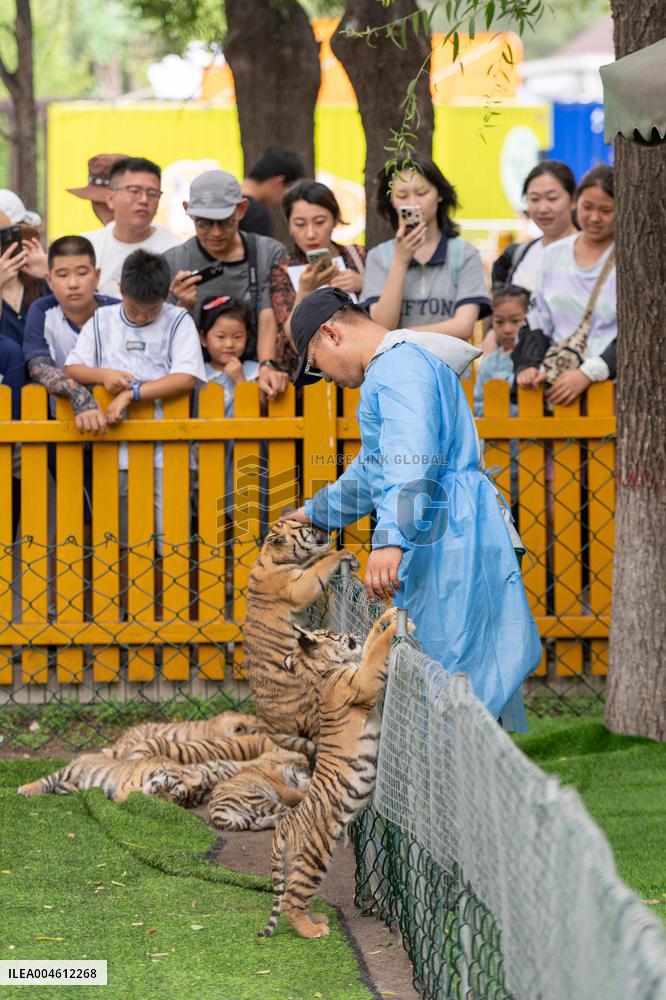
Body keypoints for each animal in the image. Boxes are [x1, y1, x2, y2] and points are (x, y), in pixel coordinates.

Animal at [245, 518, 359, 744]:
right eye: (307, 527)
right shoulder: (297, 587)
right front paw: (341, 554)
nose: (326, 527)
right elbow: (320, 567)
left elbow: (316, 559)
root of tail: (266, 724)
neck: (272, 555)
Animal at [259, 607, 413, 940]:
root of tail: (282, 829)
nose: (347, 634)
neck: (322, 672)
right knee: (291, 900)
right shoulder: (363, 683)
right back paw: (313, 930)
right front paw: (394, 626)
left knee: (296, 896)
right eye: (330, 634)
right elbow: (376, 651)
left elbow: (370, 645)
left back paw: (318, 918)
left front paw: (387, 615)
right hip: (314, 857)